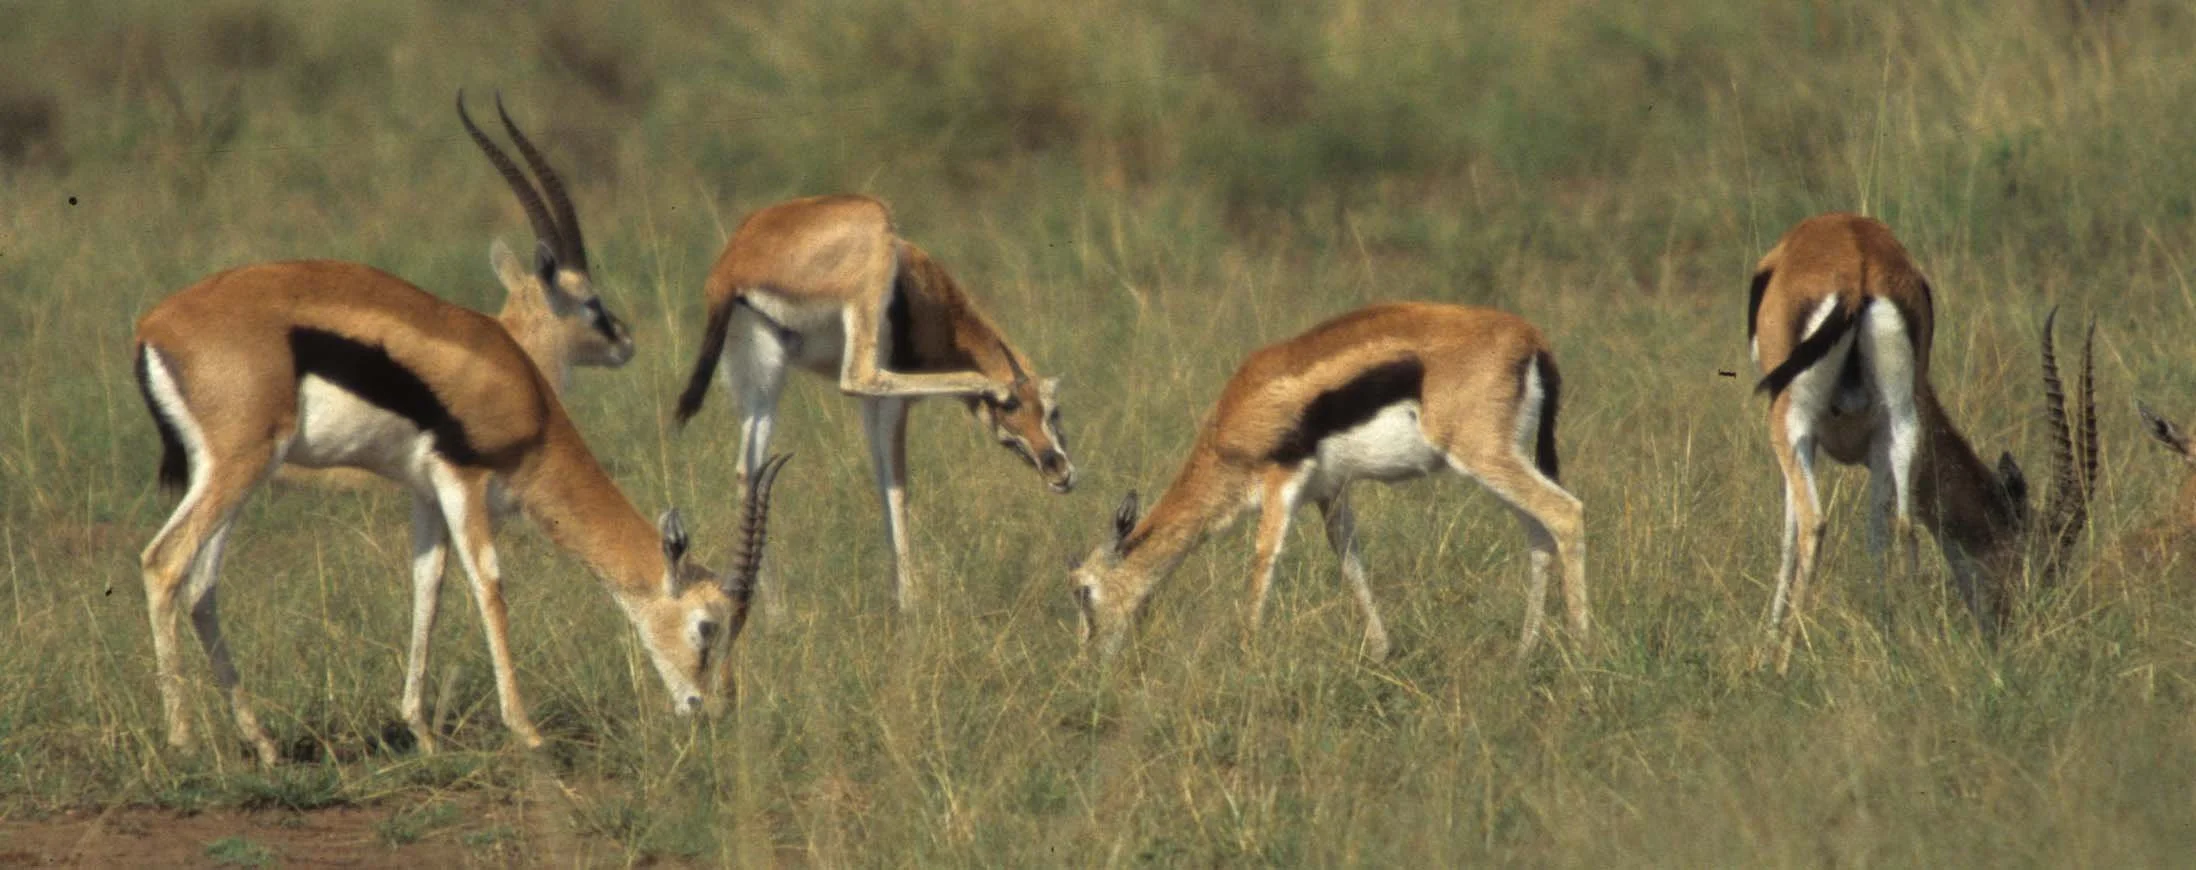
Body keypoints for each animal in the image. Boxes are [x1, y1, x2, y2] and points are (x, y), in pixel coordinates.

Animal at [674, 194, 1073, 612]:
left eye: (1051, 412)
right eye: (1019, 413)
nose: (1059, 471)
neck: (923, 287)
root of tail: (731, 266)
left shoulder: (871, 407)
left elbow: (882, 479)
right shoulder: (893, 402)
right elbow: (896, 484)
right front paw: (909, 603)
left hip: (762, 376)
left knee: (747, 469)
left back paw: (771, 608)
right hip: (865, 278)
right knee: (856, 378)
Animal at [1068, 302, 1586, 662]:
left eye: (1083, 591)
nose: (1088, 658)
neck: (1231, 423)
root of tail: (1531, 339)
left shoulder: (1281, 483)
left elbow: (1263, 562)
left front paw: (1246, 656)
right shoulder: (1330, 492)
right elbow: (1350, 562)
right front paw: (1381, 652)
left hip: (1484, 456)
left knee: (1566, 512)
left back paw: (1582, 651)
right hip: (1503, 462)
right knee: (1539, 533)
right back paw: (1524, 654)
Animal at [1749, 212, 2096, 671]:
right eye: (2045, 562)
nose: (2018, 627)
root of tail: (1857, 270)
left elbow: (1790, 533)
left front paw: (1766, 650)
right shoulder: (1878, 447)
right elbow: (1878, 531)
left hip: (1792, 421)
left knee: (1814, 523)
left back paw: (1785, 663)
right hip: (1901, 422)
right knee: (1903, 526)